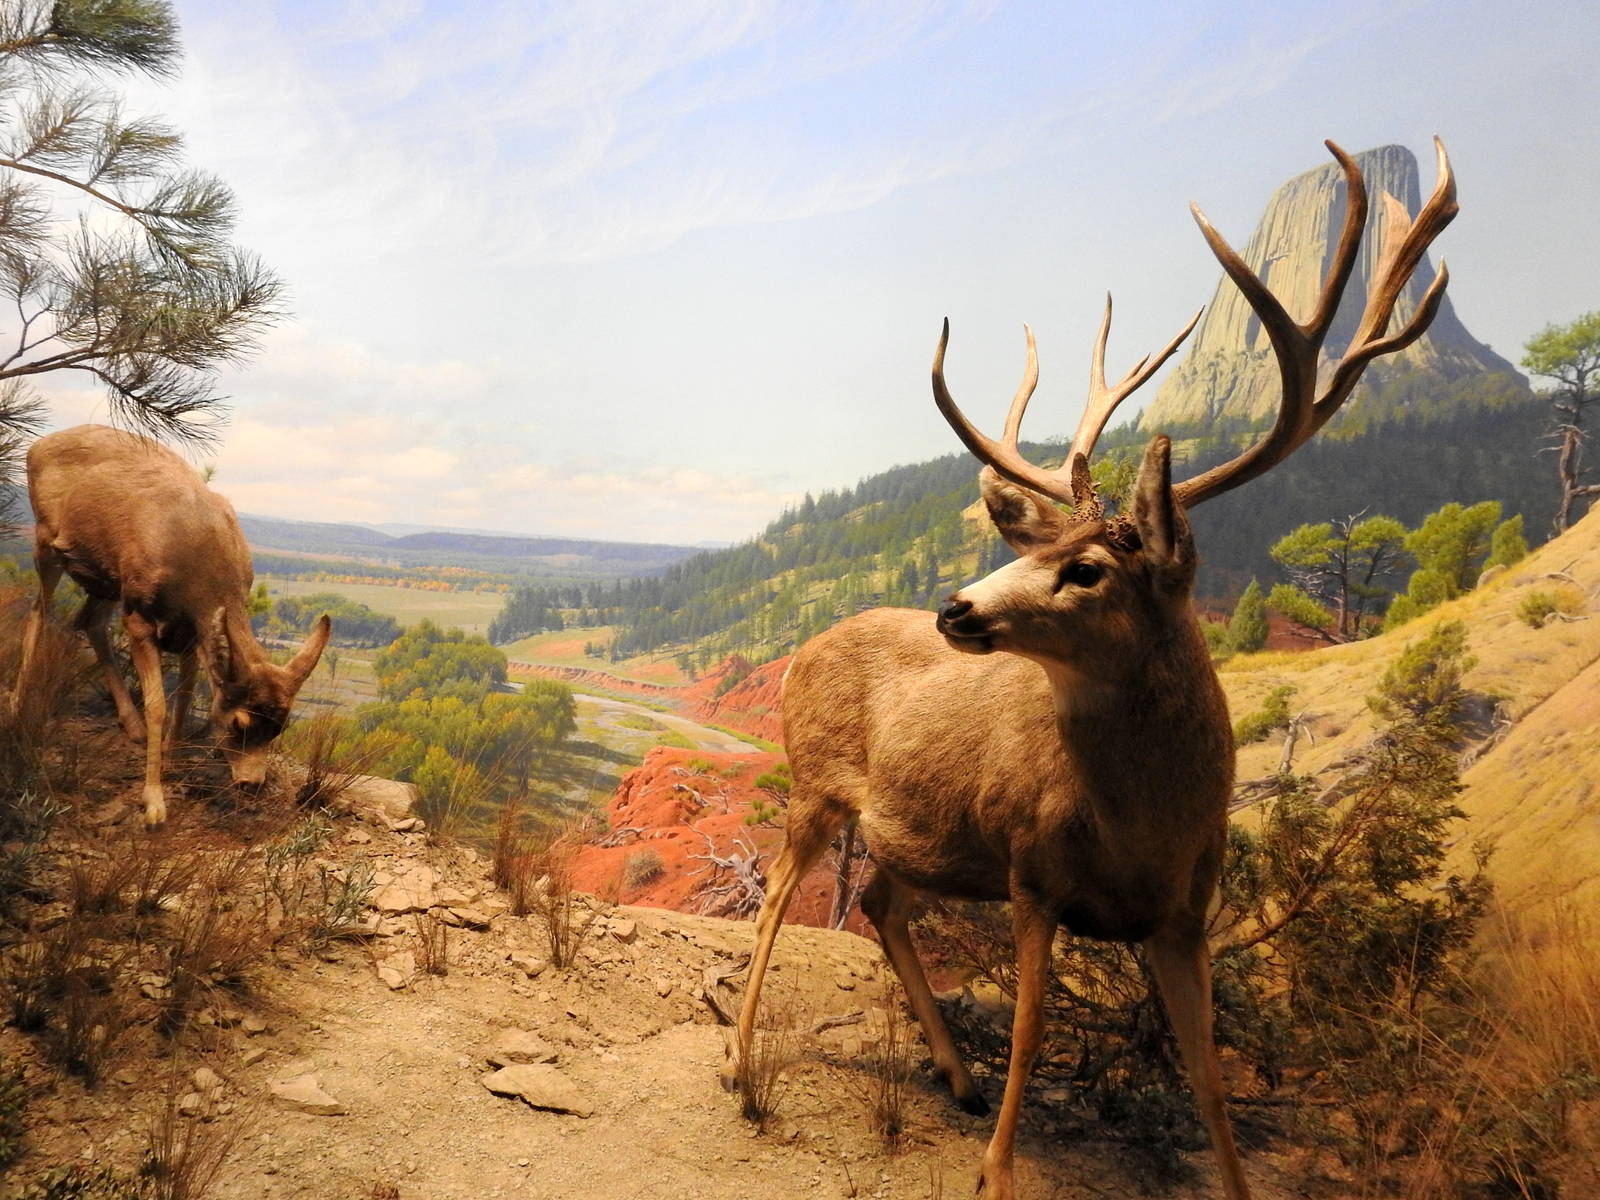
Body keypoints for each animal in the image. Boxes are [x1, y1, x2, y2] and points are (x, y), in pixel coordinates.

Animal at [10, 424, 331, 828]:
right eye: (238, 723)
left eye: (281, 726)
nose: (251, 783)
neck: (200, 574)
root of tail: (37, 446)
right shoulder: (141, 618)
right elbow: (158, 705)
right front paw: (153, 803)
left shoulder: (191, 630)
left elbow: (186, 694)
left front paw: (173, 756)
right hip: (46, 542)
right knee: (40, 610)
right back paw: (17, 702)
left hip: (108, 577)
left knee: (88, 620)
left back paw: (130, 725)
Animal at [725, 140, 1458, 1200]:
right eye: (1041, 547)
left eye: (1088, 569)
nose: (956, 608)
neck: (1140, 830)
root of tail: (797, 658)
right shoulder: (1034, 874)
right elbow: (1032, 1038)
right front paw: (996, 1175)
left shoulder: (1184, 916)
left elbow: (1210, 1084)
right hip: (818, 782)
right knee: (782, 894)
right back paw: (740, 1064)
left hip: (919, 835)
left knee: (876, 900)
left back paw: (952, 1074)